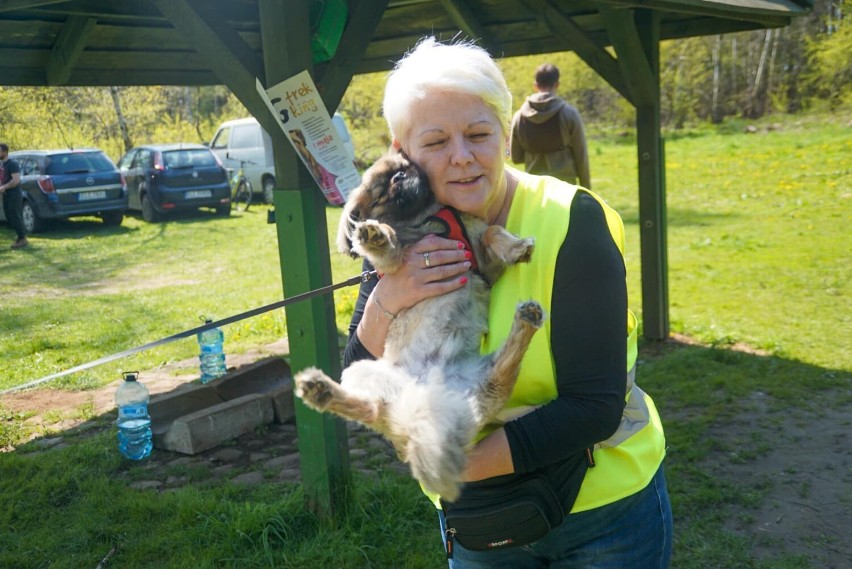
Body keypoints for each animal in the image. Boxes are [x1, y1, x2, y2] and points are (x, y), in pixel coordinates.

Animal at [296, 151, 544, 502]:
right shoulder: (397, 264)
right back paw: (320, 391)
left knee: (500, 377)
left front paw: (517, 247)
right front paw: (376, 235)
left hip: (477, 381)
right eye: (382, 191)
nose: (403, 176)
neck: (424, 218)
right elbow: (390, 247)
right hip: (360, 373)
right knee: (371, 409)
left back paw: (527, 320)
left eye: (403, 168)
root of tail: (429, 392)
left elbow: (492, 232)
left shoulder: (483, 259)